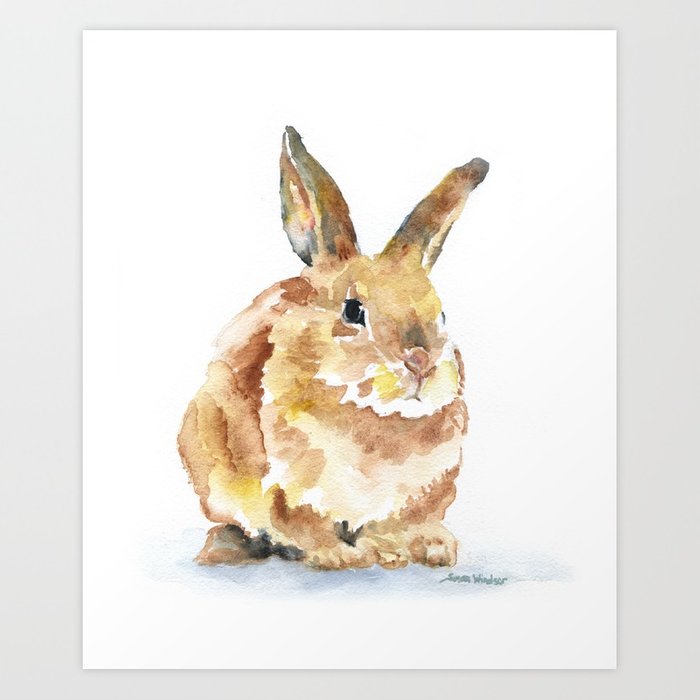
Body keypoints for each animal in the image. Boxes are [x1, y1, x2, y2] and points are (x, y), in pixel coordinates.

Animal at [178, 126, 488, 570]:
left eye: (442, 315)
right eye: (353, 310)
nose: (420, 362)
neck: (375, 419)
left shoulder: (422, 492)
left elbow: (399, 523)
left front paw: (420, 549)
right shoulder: (287, 491)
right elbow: (301, 525)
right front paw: (340, 557)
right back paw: (223, 548)